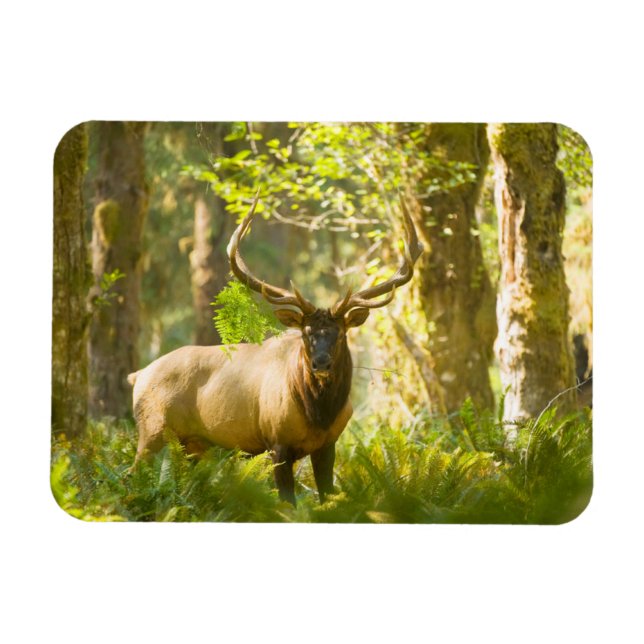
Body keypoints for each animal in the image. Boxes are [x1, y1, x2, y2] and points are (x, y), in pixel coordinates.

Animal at [128, 192, 423, 505]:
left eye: (341, 333)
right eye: (305, 333)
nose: (321, 363)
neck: (318, 415)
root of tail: (138, 375)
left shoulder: (328, 444)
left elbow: (326, 496)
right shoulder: (276, 442)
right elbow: (287, 503)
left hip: (192, 446)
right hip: (152, 431)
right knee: (132, 475)